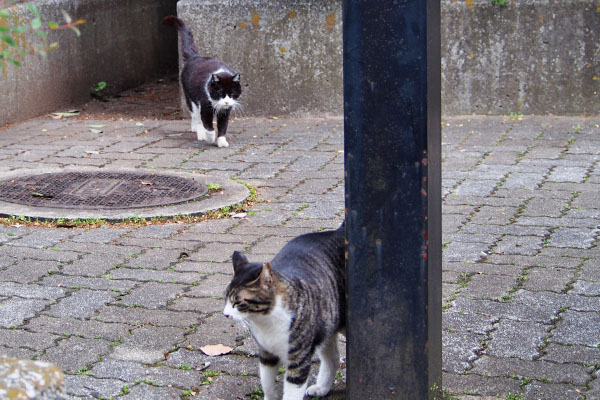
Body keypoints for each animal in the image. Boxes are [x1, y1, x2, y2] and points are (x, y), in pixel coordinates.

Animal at [164, 15, 241, 148]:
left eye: (232, 94)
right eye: (220, 93)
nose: (226, 102)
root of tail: (194, 56)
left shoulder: (225, 111)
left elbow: (223, 126)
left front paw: (222, 141)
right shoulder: (205, 105)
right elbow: (208, 125)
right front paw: (209, 138)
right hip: (189, 96)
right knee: (195, 115)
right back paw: (199, 132)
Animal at [224, 223, 344, 400]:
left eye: (237, 302)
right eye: (225, 298)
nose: (225, 314)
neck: (266, 321)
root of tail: (338, 232)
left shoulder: (298, 358)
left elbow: (293, 391)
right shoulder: (266, 353)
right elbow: (266, 382)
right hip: (326, 326)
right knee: (332, 357)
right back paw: (322, 388)